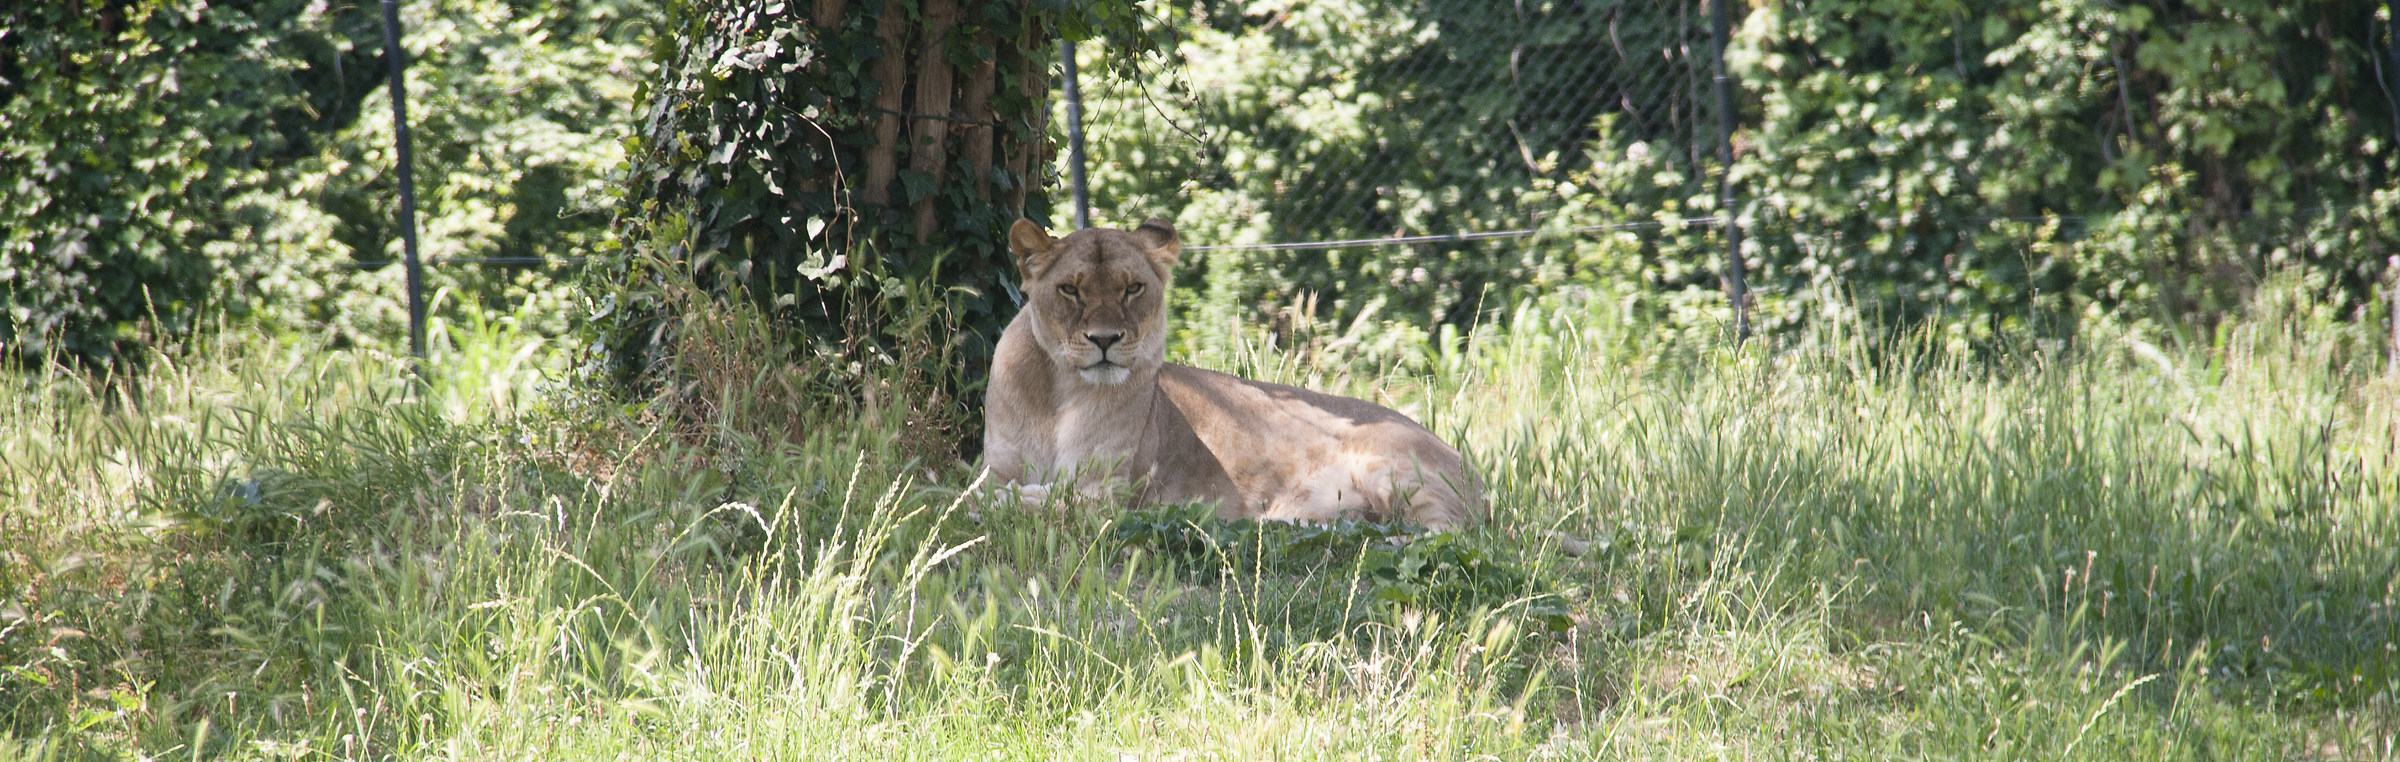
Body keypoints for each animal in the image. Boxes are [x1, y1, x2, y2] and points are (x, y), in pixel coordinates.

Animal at [980, 217, 1483, 530]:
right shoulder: (996, 467)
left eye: (1133, 288)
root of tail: (1472, 469)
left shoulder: (1107, 489)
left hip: (1396, 469)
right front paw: (998, 501)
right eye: (1069, 290)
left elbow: (1058, 500)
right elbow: (983, 492)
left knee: (1446, 533)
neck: (1060, 393)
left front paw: (1014, 502)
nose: (1105, 340)